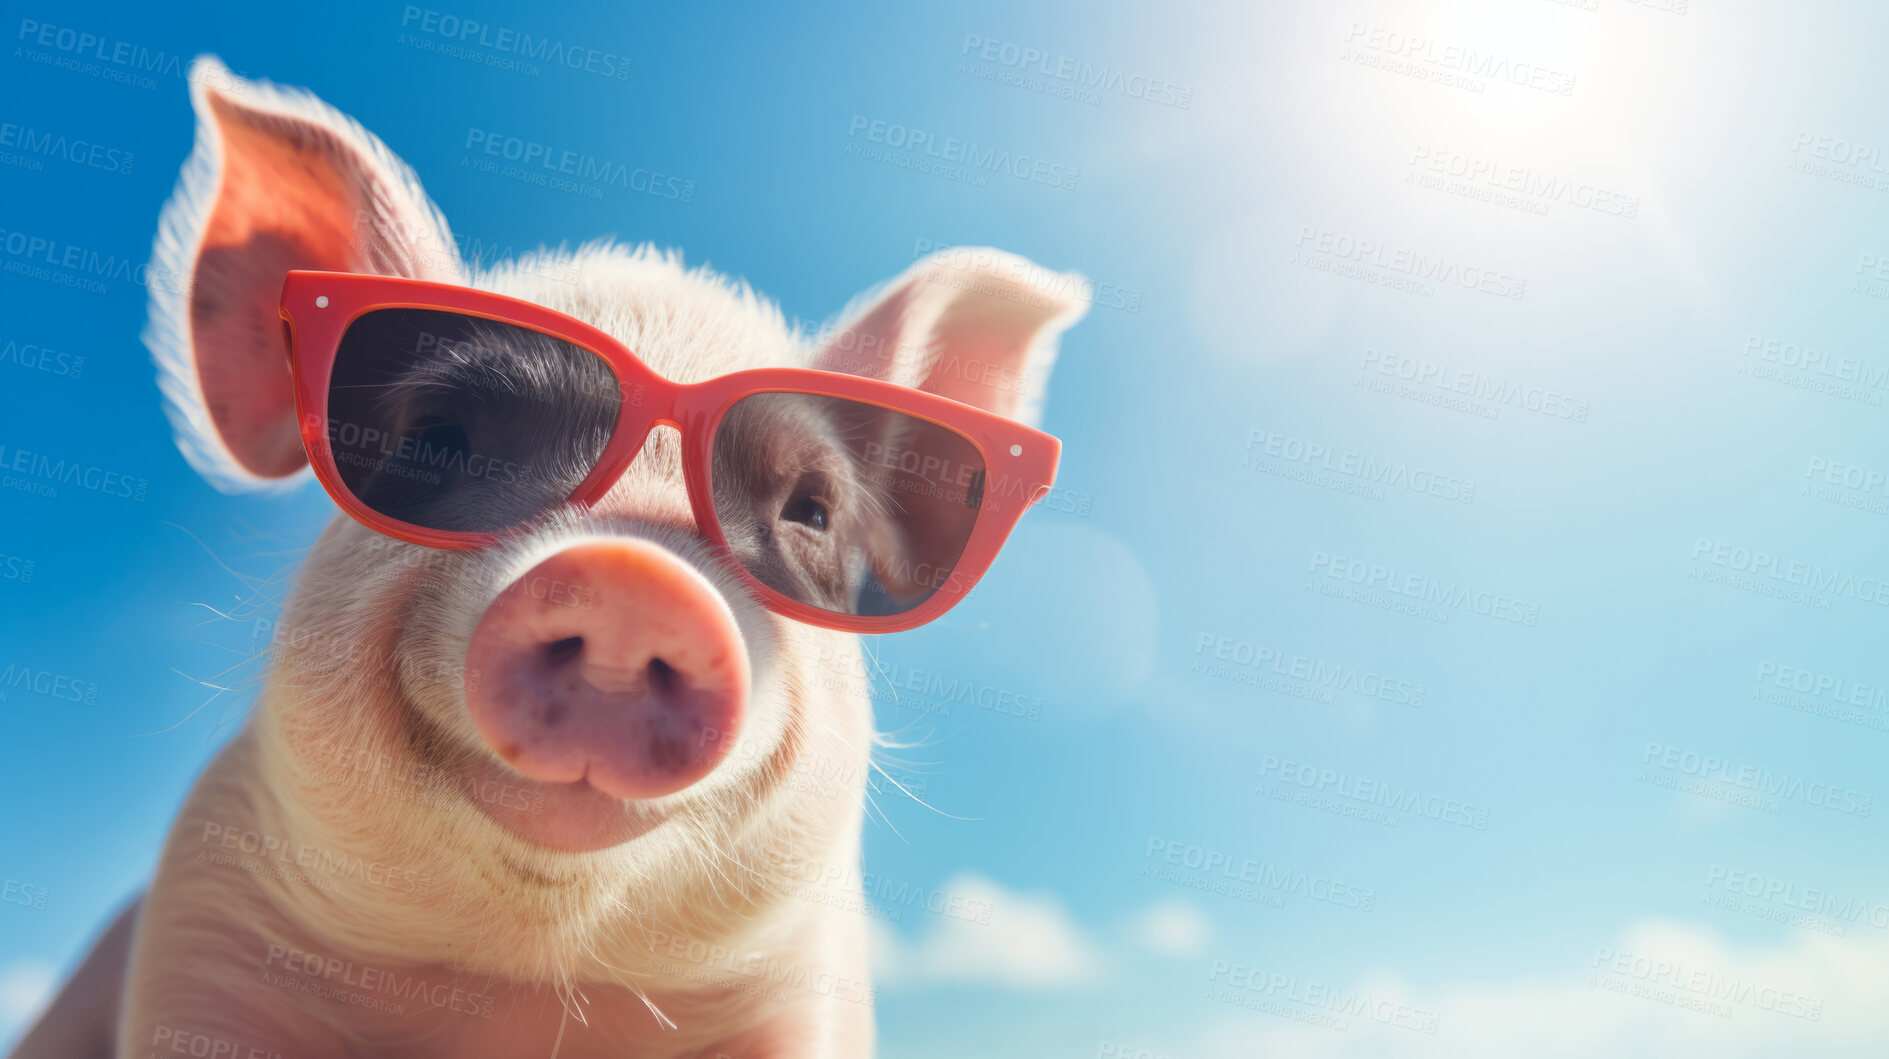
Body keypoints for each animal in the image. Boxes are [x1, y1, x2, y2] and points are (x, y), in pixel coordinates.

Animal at [10, 56, 1086, 1059]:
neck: (523, 985)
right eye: (438, 437)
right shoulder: (201, 928)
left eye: (811, 510)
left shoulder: (803, 985)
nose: (635, 578)